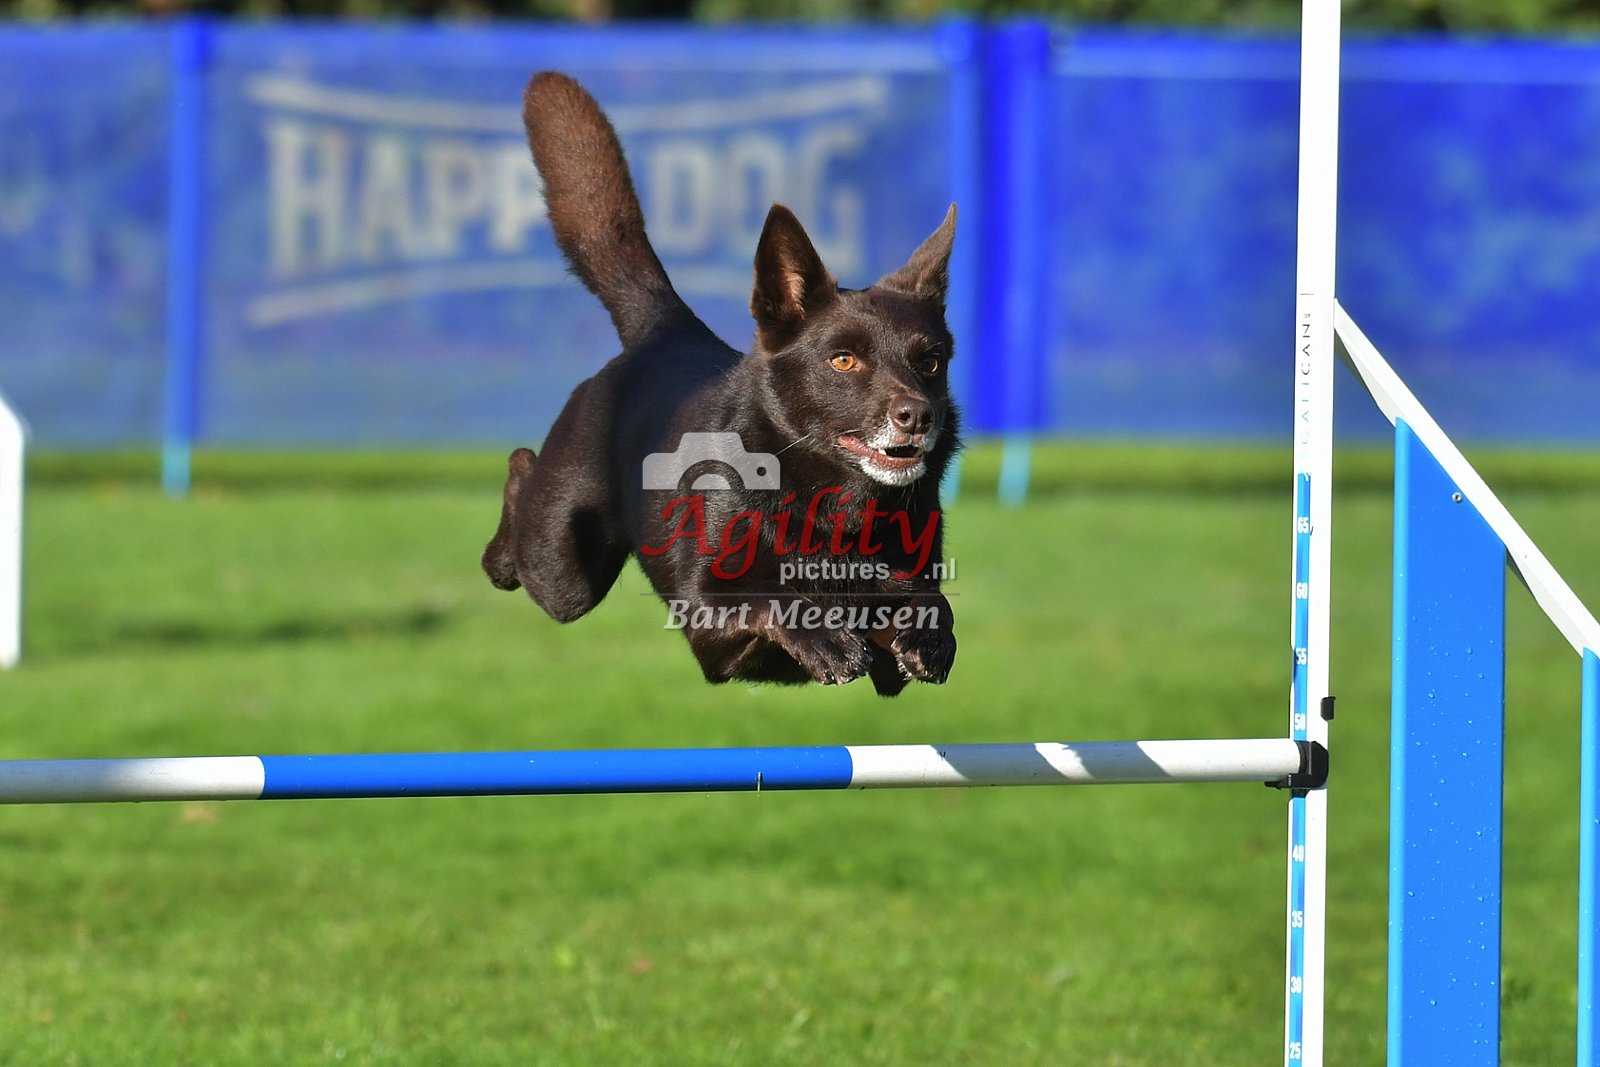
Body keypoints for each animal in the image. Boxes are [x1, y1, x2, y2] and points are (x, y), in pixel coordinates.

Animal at [482, 72, 960, 697]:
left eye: (930, 362)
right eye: (843, 360)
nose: (918, 415)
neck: (830, 507)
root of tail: (666, 332)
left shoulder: (894, 645)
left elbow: (927, 602)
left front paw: (928, 634)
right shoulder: (707, 624)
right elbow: (771, 600)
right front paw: (827, 638)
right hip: (563, 566)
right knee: (523, 487)